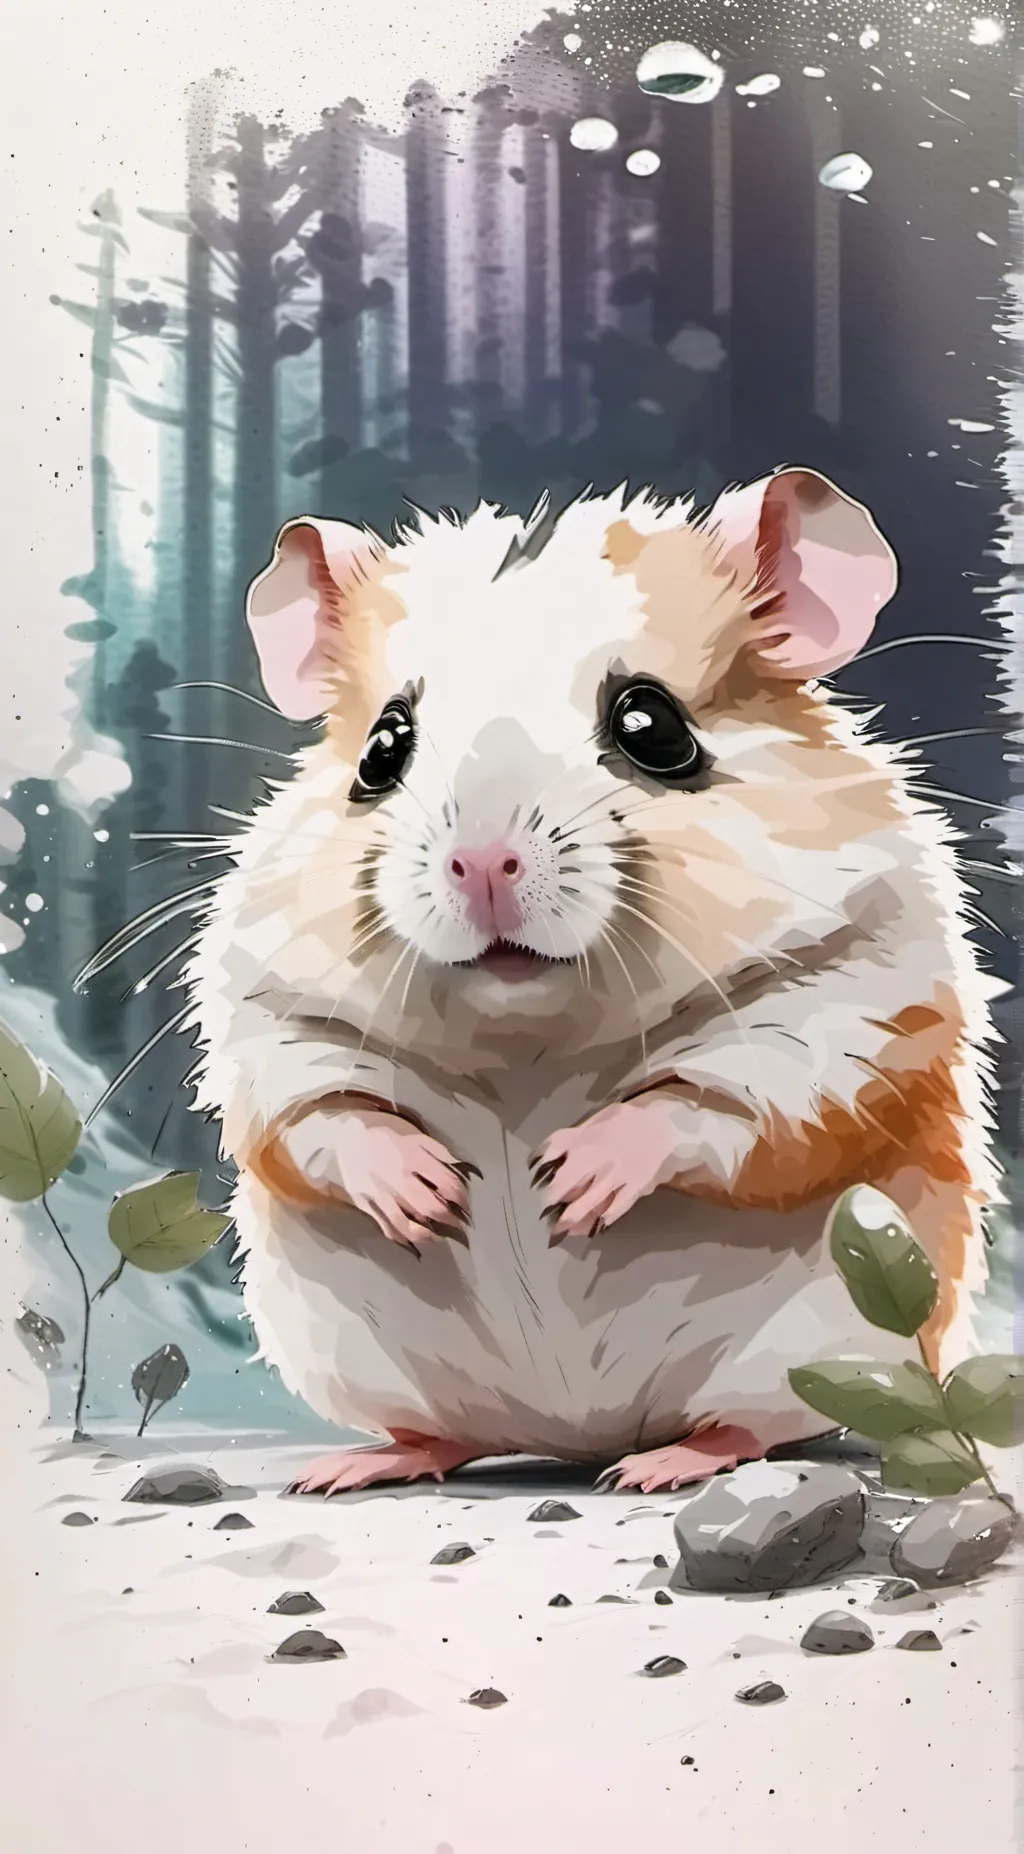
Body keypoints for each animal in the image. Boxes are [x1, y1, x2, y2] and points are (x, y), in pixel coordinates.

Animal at [187, 466, 1002, 1495]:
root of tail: (576, 1435)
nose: (482, 865)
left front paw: (571, 1182)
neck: (527, 1036)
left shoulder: (850, 1004)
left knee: (755, 1425)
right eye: (381, 750)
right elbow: (319, 1116)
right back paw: (358, 1464)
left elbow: (719, 1101)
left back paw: (664, 1465)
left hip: (828, 1342)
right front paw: (429, 1192)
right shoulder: (268, 1024)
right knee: (444, 1433)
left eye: (652, 727)